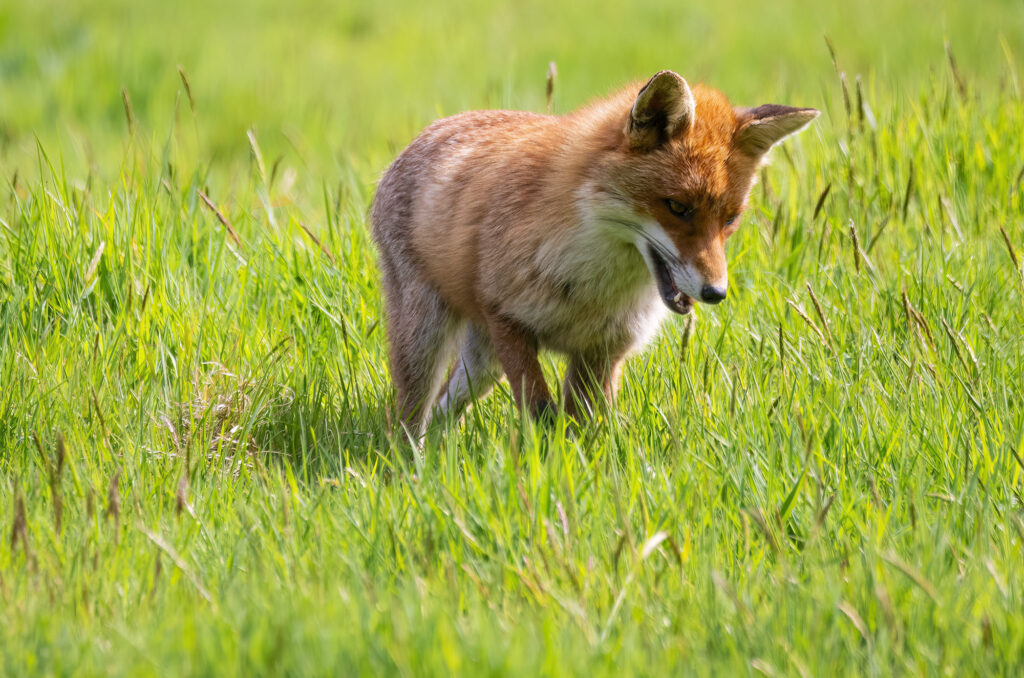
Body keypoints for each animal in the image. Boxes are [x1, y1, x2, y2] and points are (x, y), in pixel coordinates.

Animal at [371, 70, 818, 436]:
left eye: (730, 219)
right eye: (677, 207)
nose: (716, 293)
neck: (594, 286)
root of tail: (434, 127)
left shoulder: (604, 350)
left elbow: (585, 428)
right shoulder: (506, 319)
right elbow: (541, 414)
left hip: (482, 365)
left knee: (444, 407)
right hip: (427, 340)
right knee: (409, 418)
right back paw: (411, 468)